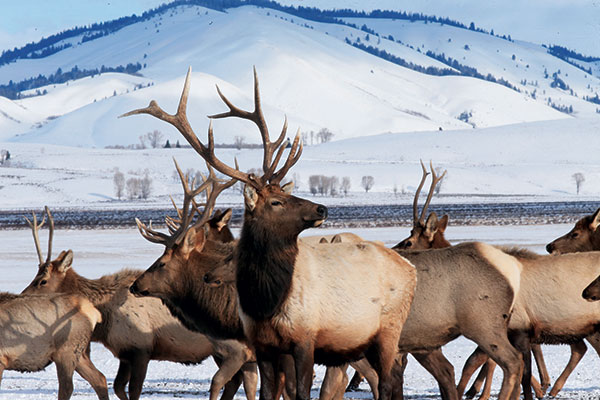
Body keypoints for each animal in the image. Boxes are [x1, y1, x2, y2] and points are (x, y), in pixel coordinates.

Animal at [21, 202, 255, 400]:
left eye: (42, 281)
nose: (22, 295)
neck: (104, 321)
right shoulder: (124, 353)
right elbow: (117, 387)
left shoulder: (141, 348)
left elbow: (133, 390)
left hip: (229, 347)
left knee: (232, 379)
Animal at [122, 67, 418, 400]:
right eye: (276, 201)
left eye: (161, 262)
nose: (136, 285)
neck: (264, 302)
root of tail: (410, 267)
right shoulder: (263, 346)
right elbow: (265, 391)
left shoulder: (301, 340)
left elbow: (294, 390)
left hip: (387, 330)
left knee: (386, 379)